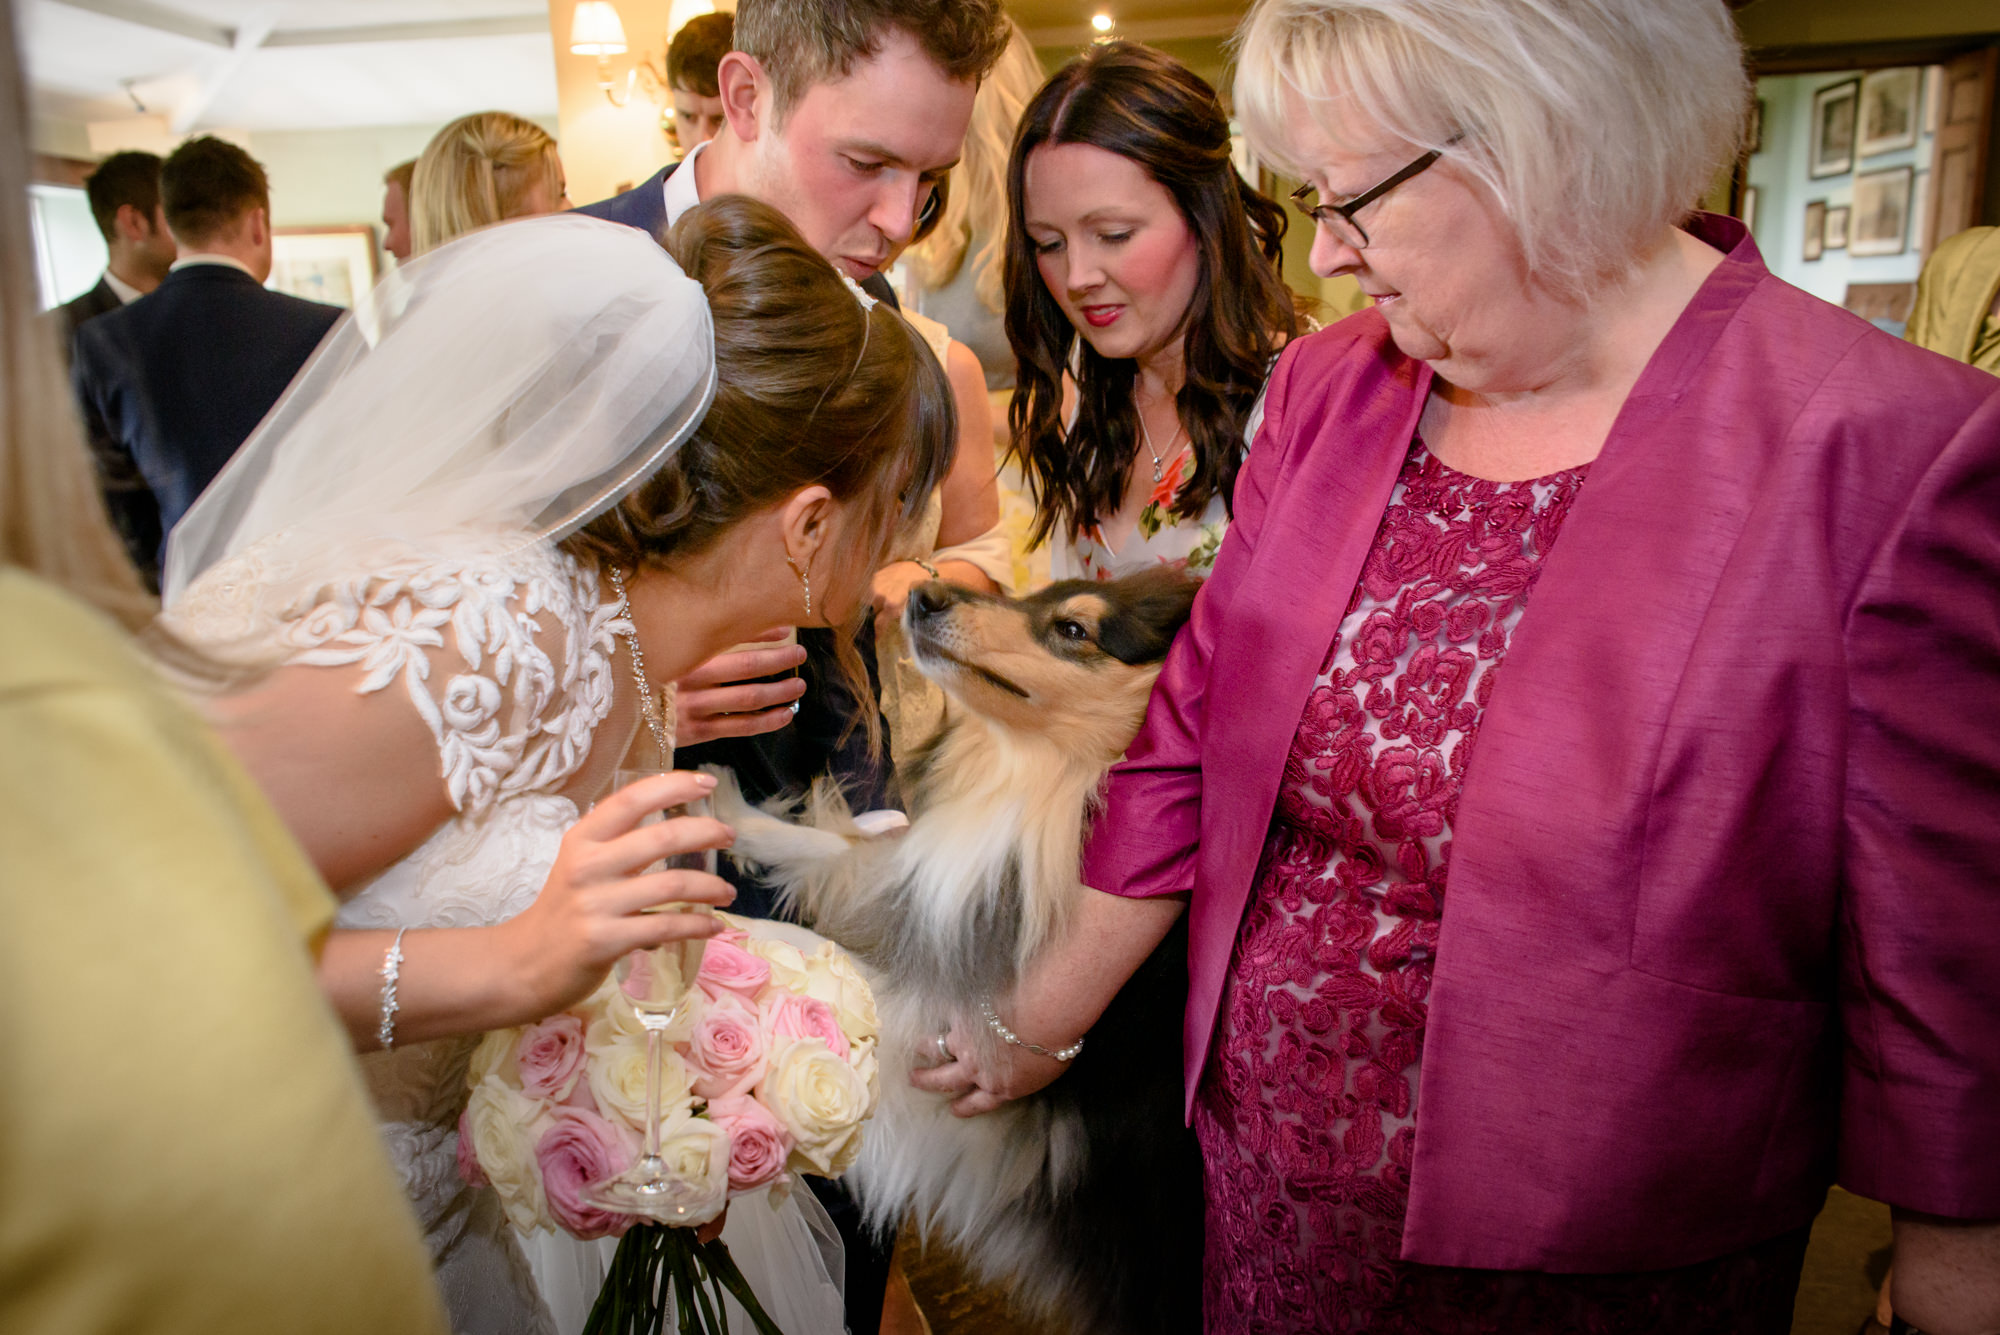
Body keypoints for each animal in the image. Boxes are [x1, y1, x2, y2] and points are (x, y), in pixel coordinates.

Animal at [712, 571, 1192, 1335]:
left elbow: (827, 958)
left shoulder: (954, 1033)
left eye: (1074, 630)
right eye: (1032, 599)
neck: (1046, 787)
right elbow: (839, 846)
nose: (924, 595)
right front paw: (721, 804)